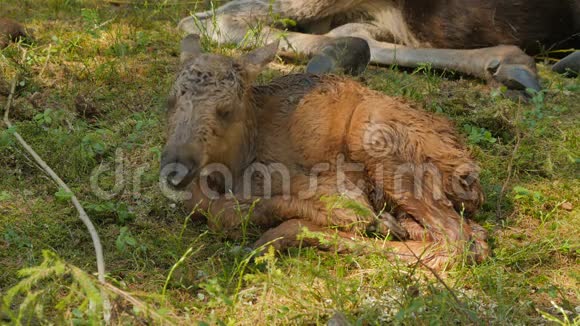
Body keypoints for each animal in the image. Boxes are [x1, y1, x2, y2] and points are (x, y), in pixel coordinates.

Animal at [161, 35, 492, 270]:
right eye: (170, 100)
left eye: (226, 110)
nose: (175, 167)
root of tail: (471, 178)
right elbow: (214, 209)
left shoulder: (335, 184)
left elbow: (227, 213)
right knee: (469, 236)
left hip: (376, 142)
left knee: (457, 242)